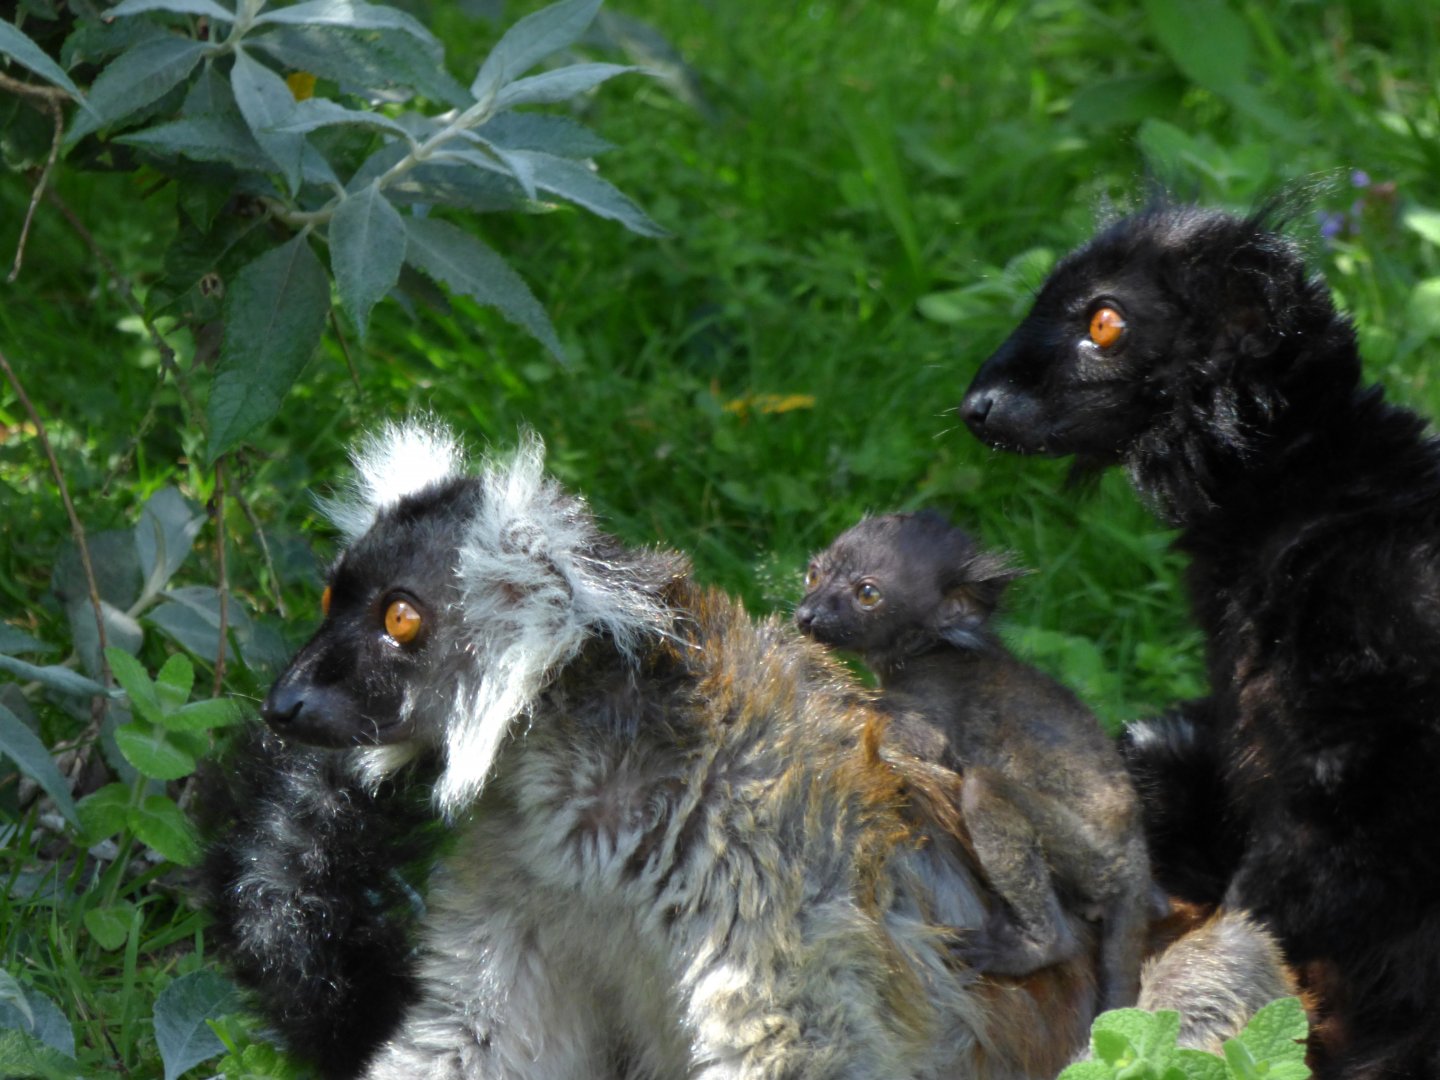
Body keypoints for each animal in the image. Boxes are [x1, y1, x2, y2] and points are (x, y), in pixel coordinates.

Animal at [795, 511, 1153, 1011]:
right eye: (813, 575)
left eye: (867, 594)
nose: (805, 615)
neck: (933, 649)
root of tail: (1136, 852)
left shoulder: (931, 711)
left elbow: (900, 732)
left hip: (1086, 853)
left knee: (985, 792)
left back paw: (1036, 947)